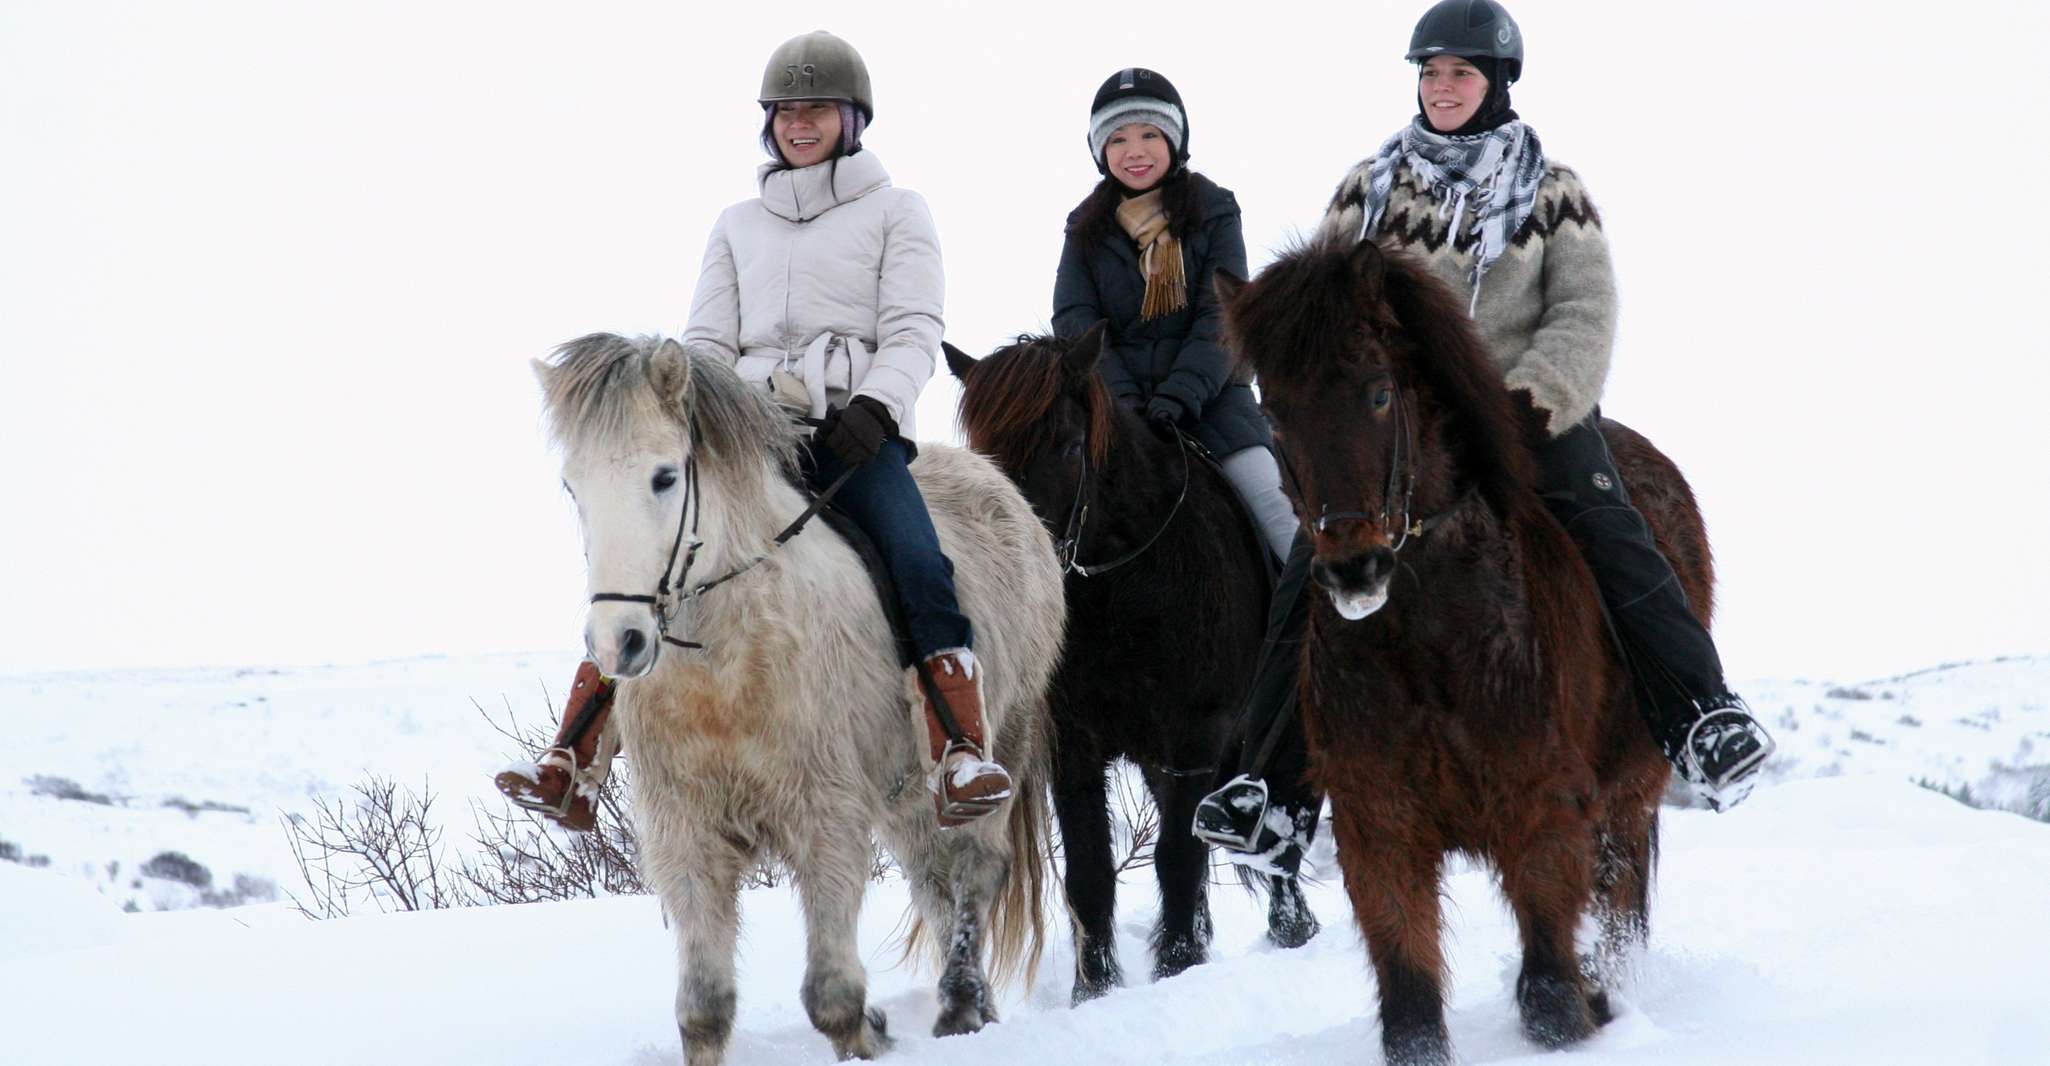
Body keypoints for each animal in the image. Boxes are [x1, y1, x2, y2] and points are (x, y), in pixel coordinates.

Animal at [537, 338, 1066, 1057]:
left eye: (665, 478)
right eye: (574, 486)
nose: (619, 642)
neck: (726, 668)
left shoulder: (826, 820)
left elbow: (833, 999)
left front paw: (870, 1036)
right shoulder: (686, 835)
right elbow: (704, 1010)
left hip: (999, 748)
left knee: (976, 871)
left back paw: (960, 1006)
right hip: (907, 794)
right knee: (933, 880)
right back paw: (972, 1006)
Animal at [947, 323, 1320, 1008]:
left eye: (1068, 445)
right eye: (982, 453)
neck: (1127, 583)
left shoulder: (1198, 736)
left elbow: (1178, 855)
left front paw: (1177, 965)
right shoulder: (1076, 747)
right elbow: (1091, 872)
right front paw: (1094, 988)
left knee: (1278, 821)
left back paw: (1291, 925)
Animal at [1213, 241, 1697, 1066]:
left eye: (1379, 393)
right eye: (1273, 410)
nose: (1355, 569)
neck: (1429, 645)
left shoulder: (1543, 814)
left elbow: (1550, 1002)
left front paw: (1582, 1011)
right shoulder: (1379, 828)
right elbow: (1411, 1014)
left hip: (1629, 796)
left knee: (1620, 906)